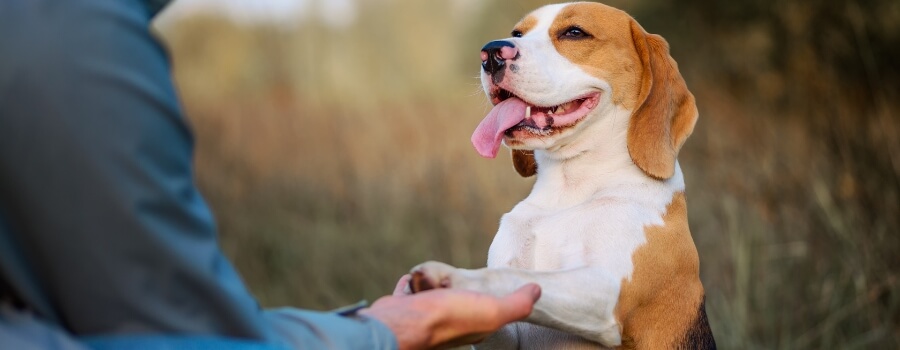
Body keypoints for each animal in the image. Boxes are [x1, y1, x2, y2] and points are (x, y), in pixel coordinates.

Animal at [410, 2, 716, 350]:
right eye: (518, 33)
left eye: (574, 32)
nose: (490, 53)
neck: (570, 188)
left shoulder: (604, 291)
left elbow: (513, 276)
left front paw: (452, 277)